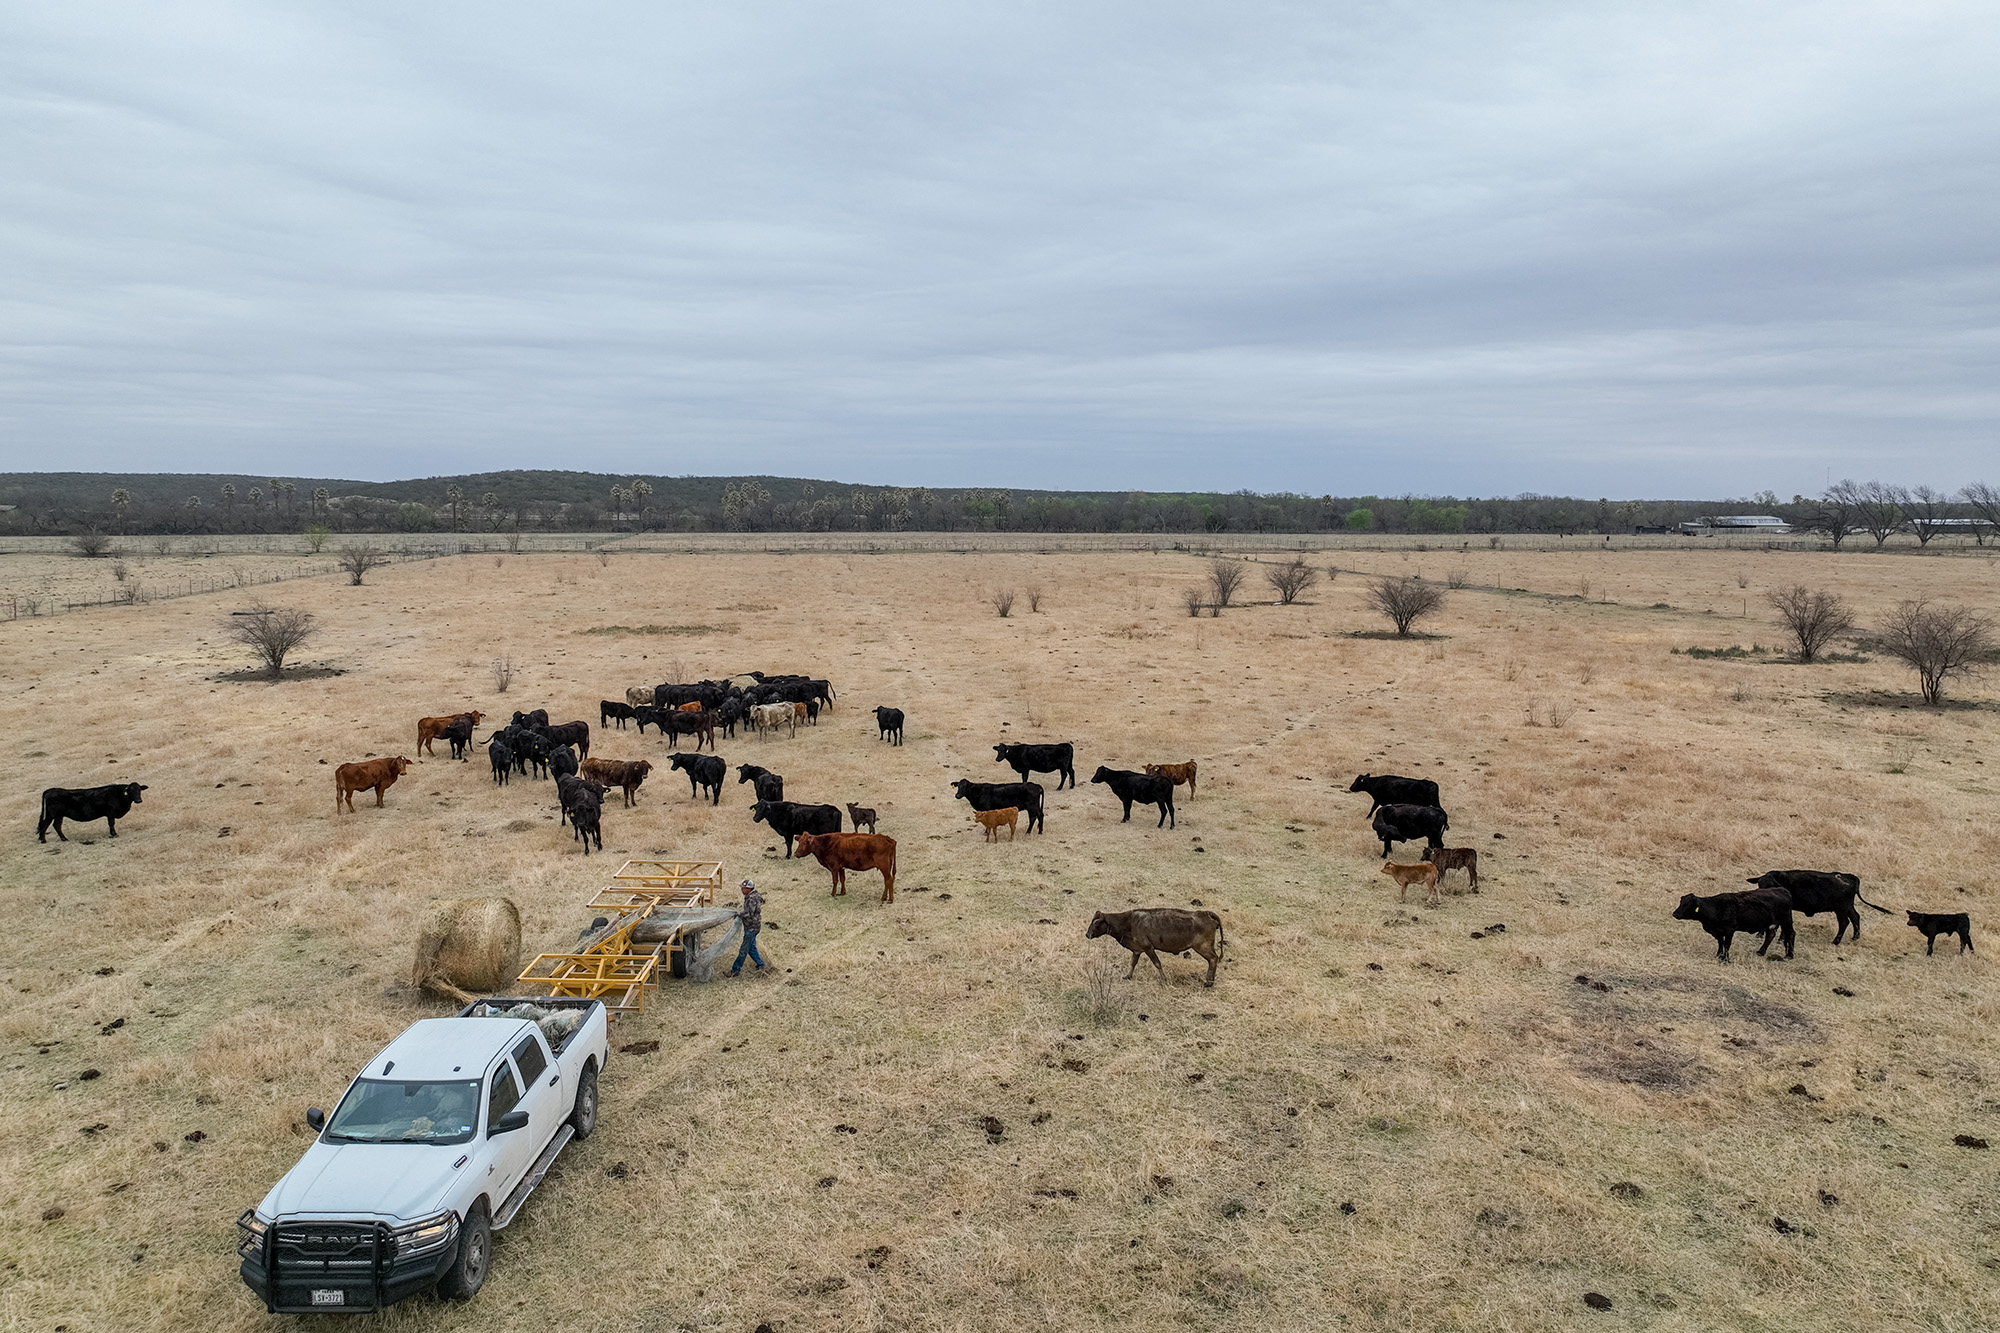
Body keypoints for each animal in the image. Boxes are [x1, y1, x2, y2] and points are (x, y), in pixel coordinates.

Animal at [1086, 909, 1226, 987]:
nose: (1087, 934)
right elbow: (1133, 963)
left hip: (1203, 947)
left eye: (1096, 923)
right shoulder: (1137, 950)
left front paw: (1164, 980)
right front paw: (1128, 976)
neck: (1129, 921)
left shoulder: (1148, 947)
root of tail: (1207, 914)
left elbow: (1157, 963)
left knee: (1213, 959)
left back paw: (1209, 982)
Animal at [1745, 870, 1889, 944]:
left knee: (1844, 922)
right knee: (1855, 917)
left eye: (1770, 885)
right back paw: (1855, 937)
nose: (1761, 894)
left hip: (1841, 909)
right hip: (1848, 907)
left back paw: (1836, 941)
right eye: (1760, 884)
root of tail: (1847, 876)